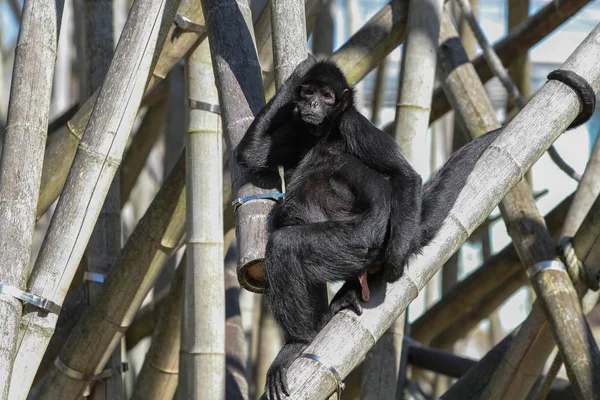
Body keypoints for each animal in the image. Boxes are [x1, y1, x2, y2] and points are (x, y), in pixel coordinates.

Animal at [236, 56, 596, 400]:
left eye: (326, 96)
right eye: (309, 93)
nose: (312, 104)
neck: (322, 131)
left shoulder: (354, 124)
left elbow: (405, 176)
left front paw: (397, 262)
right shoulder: (300, 128)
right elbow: (251, 154)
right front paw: (299, 71)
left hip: (355, 242)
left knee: (291, 235)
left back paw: (298, 342)